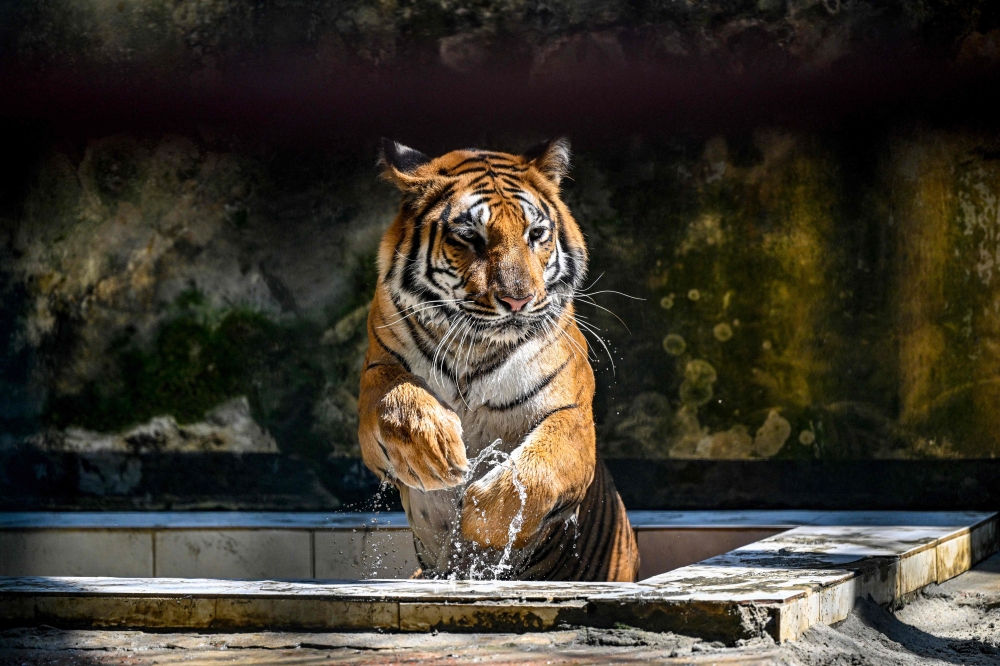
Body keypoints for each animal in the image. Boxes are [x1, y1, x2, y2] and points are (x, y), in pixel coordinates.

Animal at [357, 137, 639, 582]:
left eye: (536, 234)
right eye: (470, 236)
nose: (518, 300)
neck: (473, 346)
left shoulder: (572, 414)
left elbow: (538, 470)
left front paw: (474, 520)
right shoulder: (377, 368)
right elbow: (392, 397)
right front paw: (436, 453)